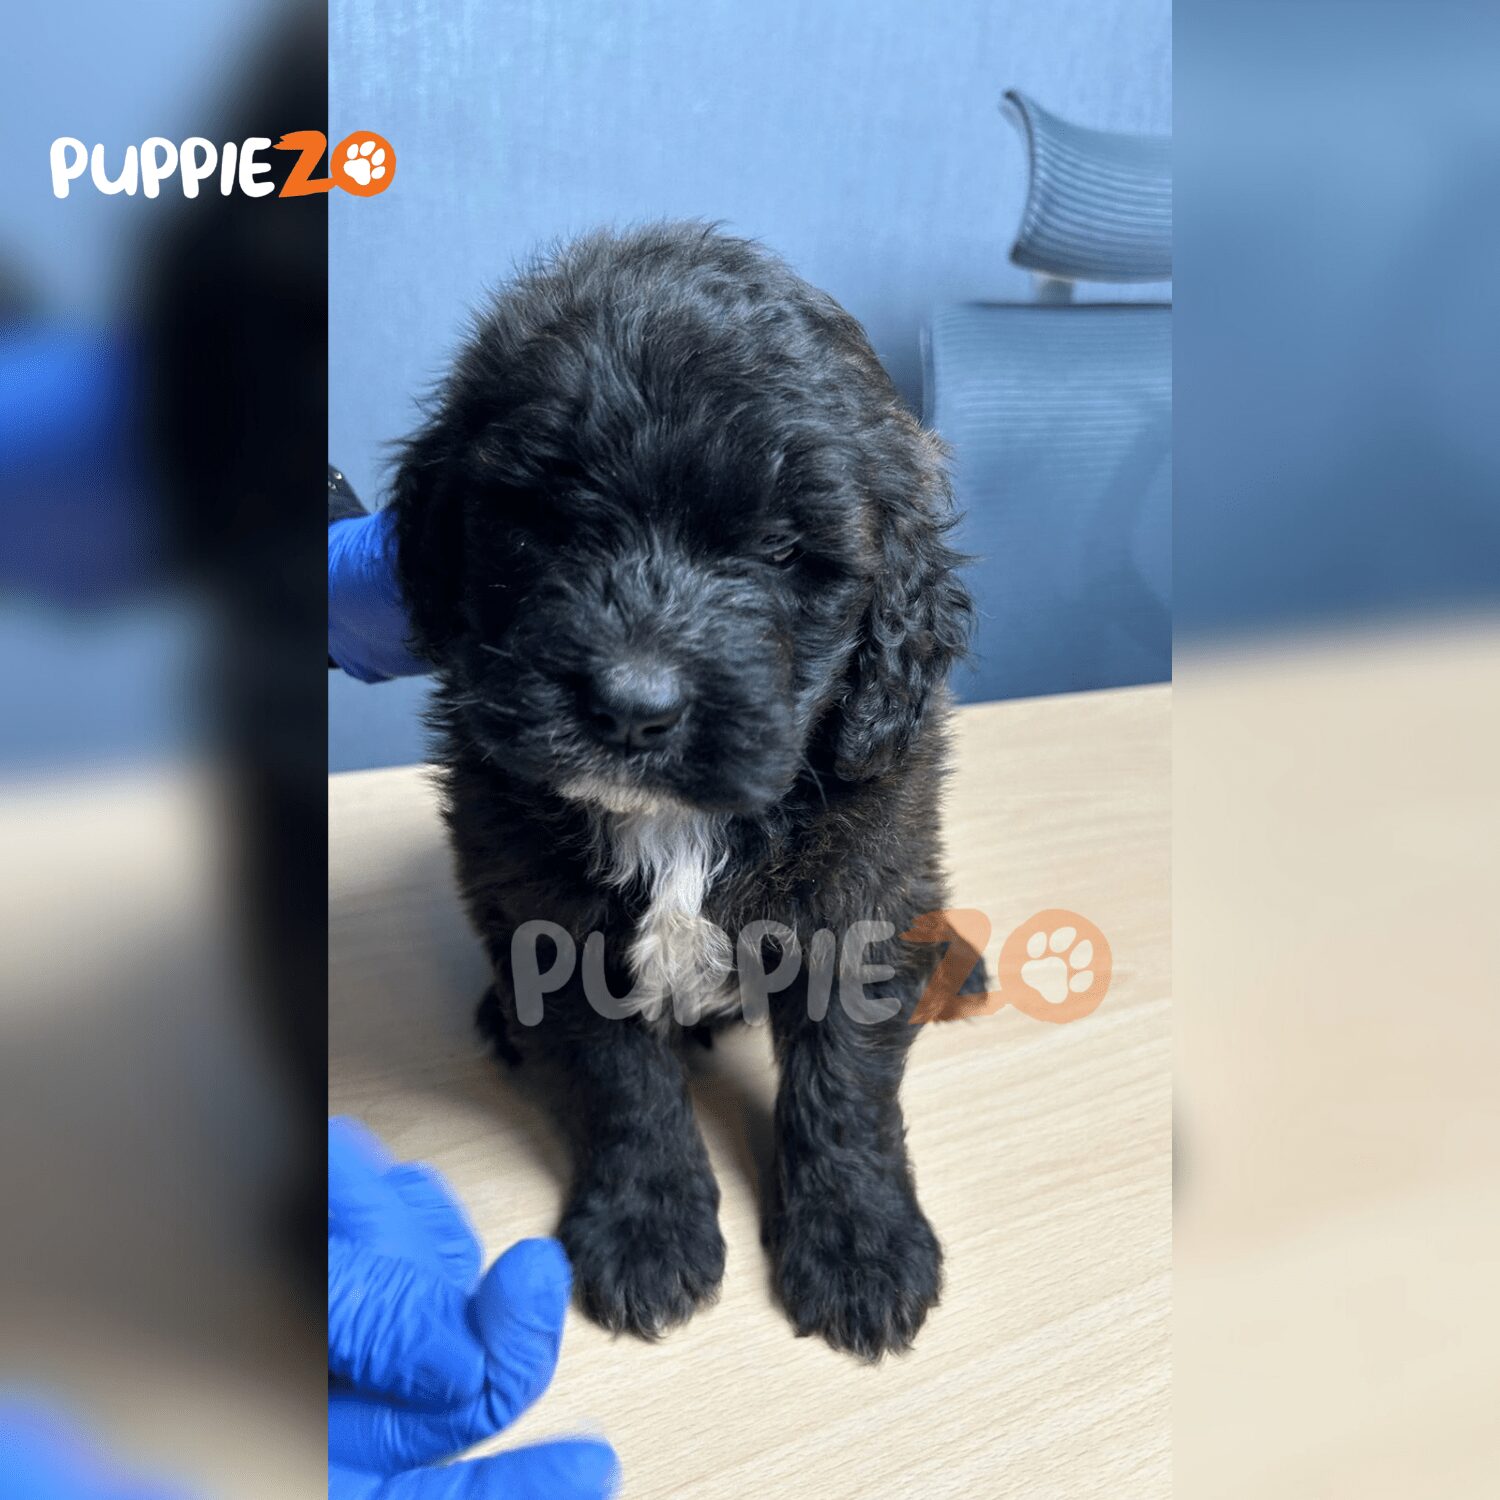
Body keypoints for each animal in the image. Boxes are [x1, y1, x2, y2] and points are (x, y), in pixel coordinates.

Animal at [391, 223, 974, 1359]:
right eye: (547, 521)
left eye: (785, 552)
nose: (632, 706)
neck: (677, 828)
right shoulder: (550, 915)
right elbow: (622, 1084)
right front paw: (647, 1229)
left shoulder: (862, 885)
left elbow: (846, 1079)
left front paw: (860, 1240)